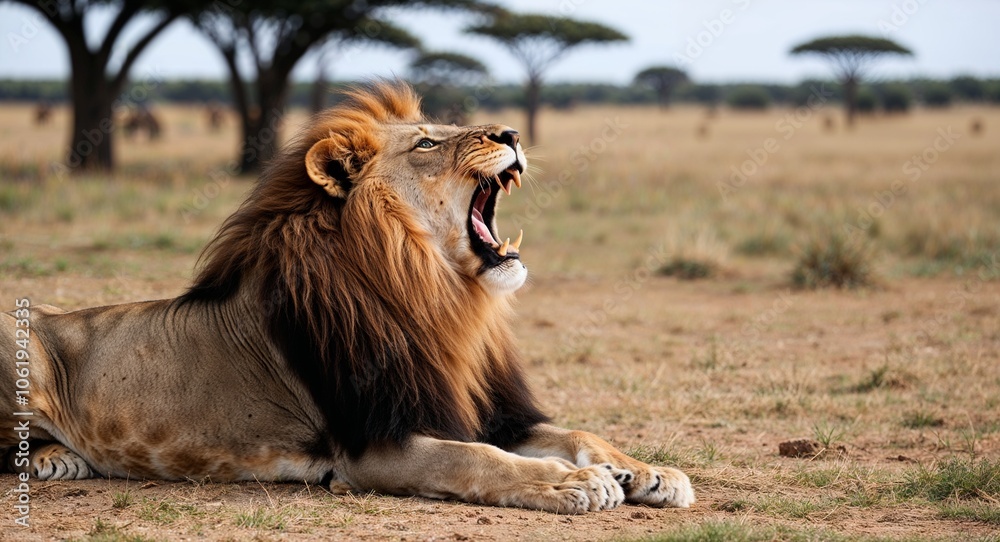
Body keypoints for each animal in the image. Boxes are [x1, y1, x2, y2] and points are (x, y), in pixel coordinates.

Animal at [1, 82, 693, 514]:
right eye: (427, 142)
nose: (513, 131)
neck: (439, 299)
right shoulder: (370, 445)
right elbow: (478, 460)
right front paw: (575, 483)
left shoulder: (483, 408)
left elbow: (572, 429)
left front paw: (645, 471)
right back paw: (51, 462)